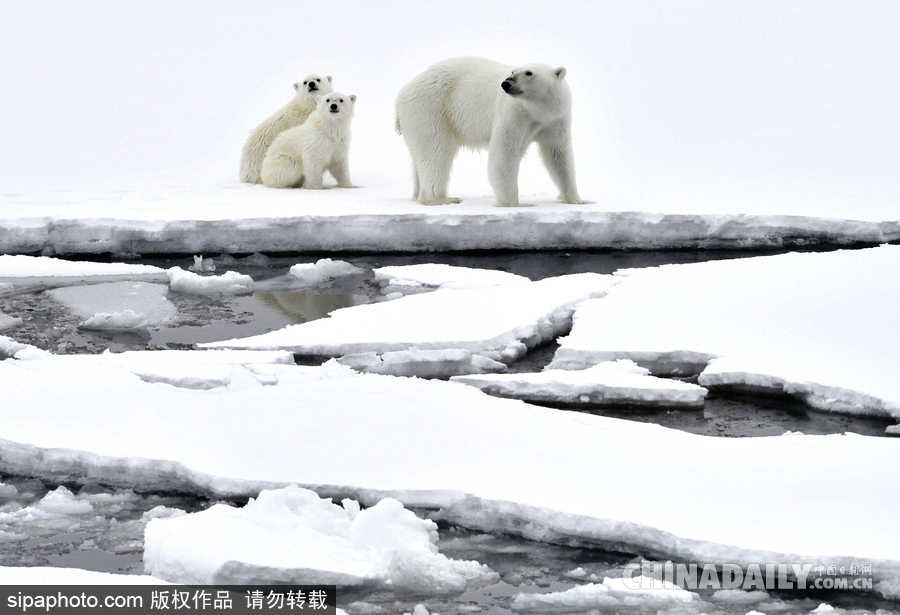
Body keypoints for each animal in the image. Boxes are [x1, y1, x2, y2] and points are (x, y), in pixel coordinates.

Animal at [398, 56, 588, 208]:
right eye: (513, 71)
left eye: (529, 73)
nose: (506, 83)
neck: (537, 112)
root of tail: (402, 93)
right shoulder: (513, 114)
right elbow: (504, 153)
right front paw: (514, 204)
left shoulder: (556, 119)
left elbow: (557, 154)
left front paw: (577, 199)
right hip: (431, 110)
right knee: (436, 152)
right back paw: (441, 199)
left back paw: (417, 194)